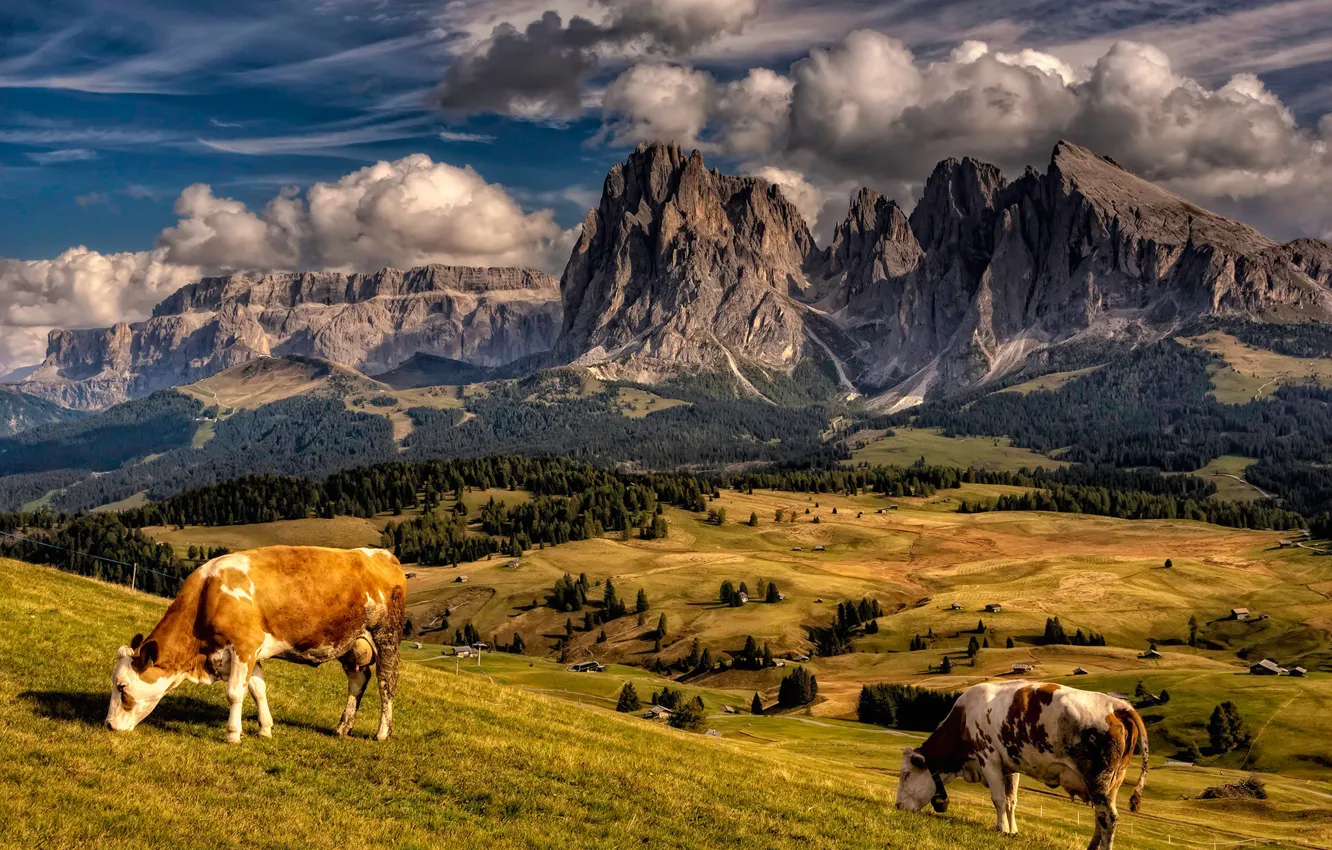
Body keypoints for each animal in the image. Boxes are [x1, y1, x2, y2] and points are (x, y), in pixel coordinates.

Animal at [106, 546, 406, 743]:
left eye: (122, 687)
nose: (108, 725)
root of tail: (382, 554)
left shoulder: (244, 645)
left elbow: (235, 693)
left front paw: (233, 734)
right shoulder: (250, 652)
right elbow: (257, 689)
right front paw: (265, 728)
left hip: (386, 636)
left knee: (386, 682)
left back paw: (382, 732)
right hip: (351, 642)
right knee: (358, 679)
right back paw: (342, 727)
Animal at [896, 681, 1148, 850]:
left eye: (906, 774)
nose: (897, 806)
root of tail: (1117, 705)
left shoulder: (988, 759)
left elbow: (998, 799)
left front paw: (1001, 828)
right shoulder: (1010, 766)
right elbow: (1011, 801)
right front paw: (1012, 830)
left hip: (1098, 780)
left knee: (1109, 818)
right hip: (1111, 783)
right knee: (1100, 818)